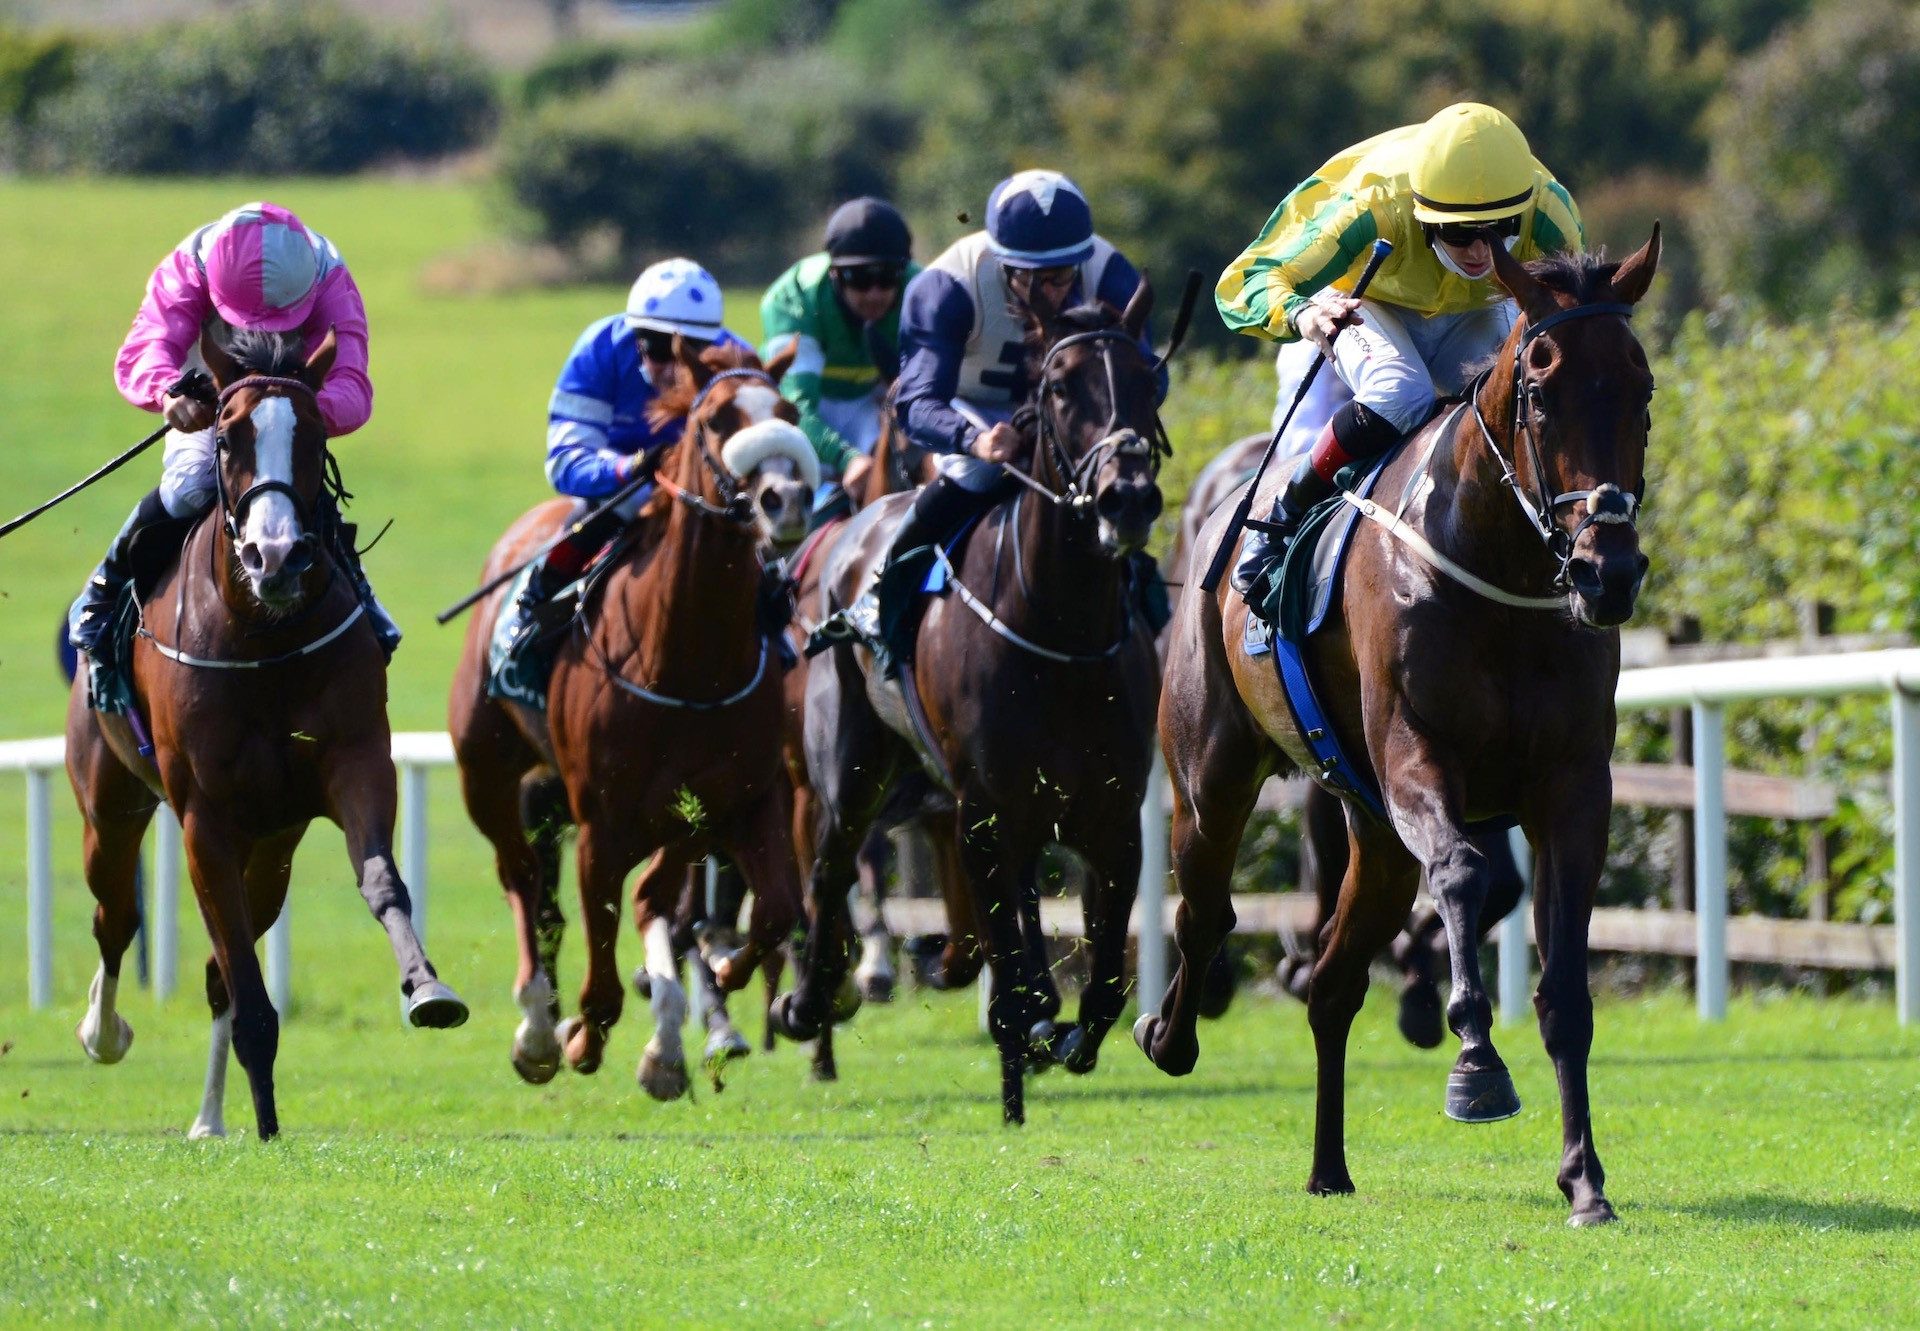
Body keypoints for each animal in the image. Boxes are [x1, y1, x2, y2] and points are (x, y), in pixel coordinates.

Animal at [67, 326, 464, 1137]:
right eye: (225, 436)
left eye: (314, 436)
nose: (275, 556)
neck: (261, 637)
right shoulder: (204, 819)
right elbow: (244, 987)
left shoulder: (354, 765)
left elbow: (380, 881)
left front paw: (426, 988)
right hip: (110, 805)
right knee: (117, 916)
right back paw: (105, 1032)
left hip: (273, 846)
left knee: (216, 968)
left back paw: (213, 1117)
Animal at [453, 339, 814, 1098]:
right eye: (718, 419)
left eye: (789, 412)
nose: (786, 499)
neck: (686, 660)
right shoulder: (603, 820)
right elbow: (601, 959)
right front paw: (579, 1035)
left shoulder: (729, 799)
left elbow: (770, 909)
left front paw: (718, 985)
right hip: (486, 775)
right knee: (521, 874)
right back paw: (537, 1027)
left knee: (645, 897)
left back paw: (668, 1036)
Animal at [771, 290, 1159, 1121]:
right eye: (1060, 387)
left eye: (1148, 378)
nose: (1129, 495)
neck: (1057, 626)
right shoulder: (985, 812)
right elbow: (1013, 963)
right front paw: (1025, 1047)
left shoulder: (1112, 818)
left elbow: (1105, 982)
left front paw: (1060, 1035)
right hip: (849, 770)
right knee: (828, 868)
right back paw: (812, 1002)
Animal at [1136, 233, 1666, 1221]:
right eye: (1541, 389)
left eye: (1642, 386)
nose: (1606, 570)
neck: (1495, 567)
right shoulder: (1417, 759)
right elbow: (1458, 872)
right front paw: (1475, 1062)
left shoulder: (1574, 788)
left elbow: (1565, 988)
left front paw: (1584, 1179)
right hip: (1210, 777)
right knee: (1207, 910)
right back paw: (1166, 1032)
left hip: (1373, 837)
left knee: (1334, 983)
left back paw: (1327, 1163)